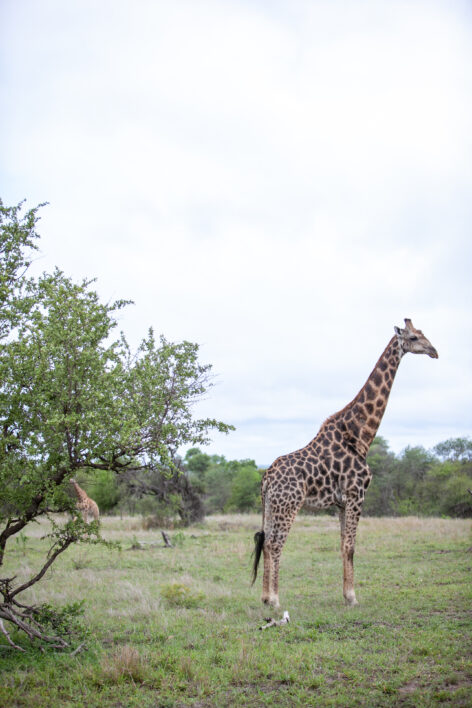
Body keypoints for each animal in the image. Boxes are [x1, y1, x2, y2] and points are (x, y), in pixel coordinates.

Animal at [252, 318, 438, 609]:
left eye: (422, 334)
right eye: (414, 337)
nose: (434, 351)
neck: (360, 435)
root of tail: (266, 478)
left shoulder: (342, 502)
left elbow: (342, 546)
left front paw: (345, 594)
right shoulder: (356, 494)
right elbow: (351, 546)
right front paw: (352, 597)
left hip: (271, 506)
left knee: (267, 542)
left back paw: (264, 597)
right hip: (288, 505)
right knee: (275, 544)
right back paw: (275, 599)